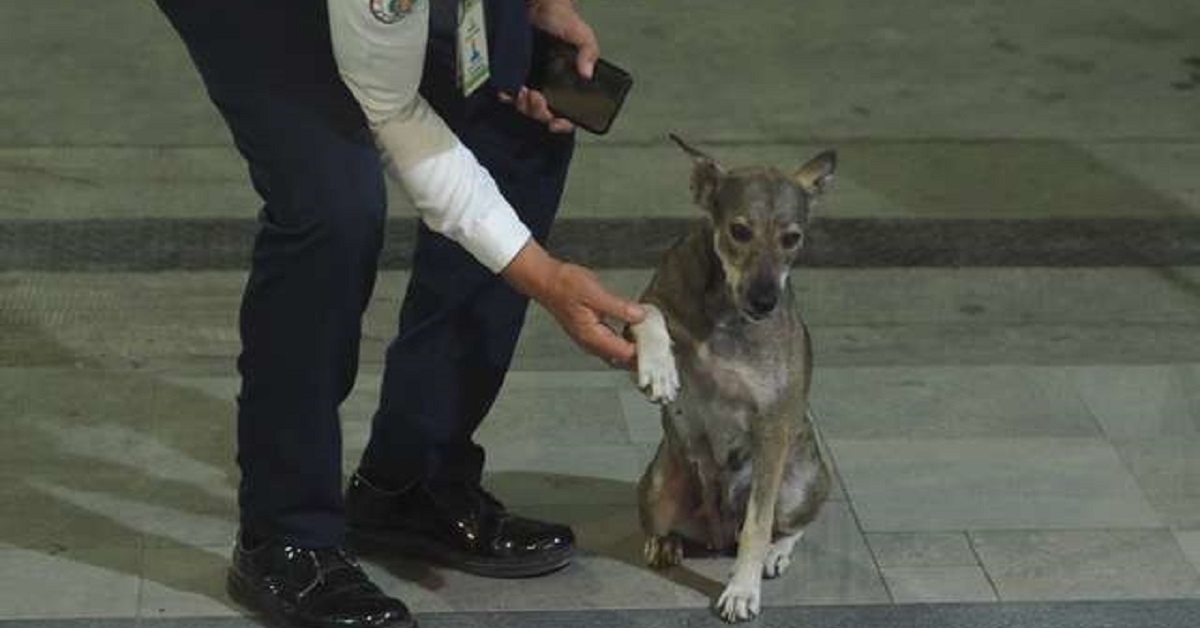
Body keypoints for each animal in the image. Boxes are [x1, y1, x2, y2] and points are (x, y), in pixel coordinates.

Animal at [628, 135, 835, 619]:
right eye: (740, 231)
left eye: (792, 238)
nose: (764, 300)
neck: (725, 309)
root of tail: (717, 531)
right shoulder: (653, 300)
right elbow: (650, 312)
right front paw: (659, 369)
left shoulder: (772, 426)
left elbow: (757, 527)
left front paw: (742, 590)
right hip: (659, 487)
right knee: (666, 523)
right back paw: (664, 544)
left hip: (801, 481)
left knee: (788, 524)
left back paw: (775, 554)